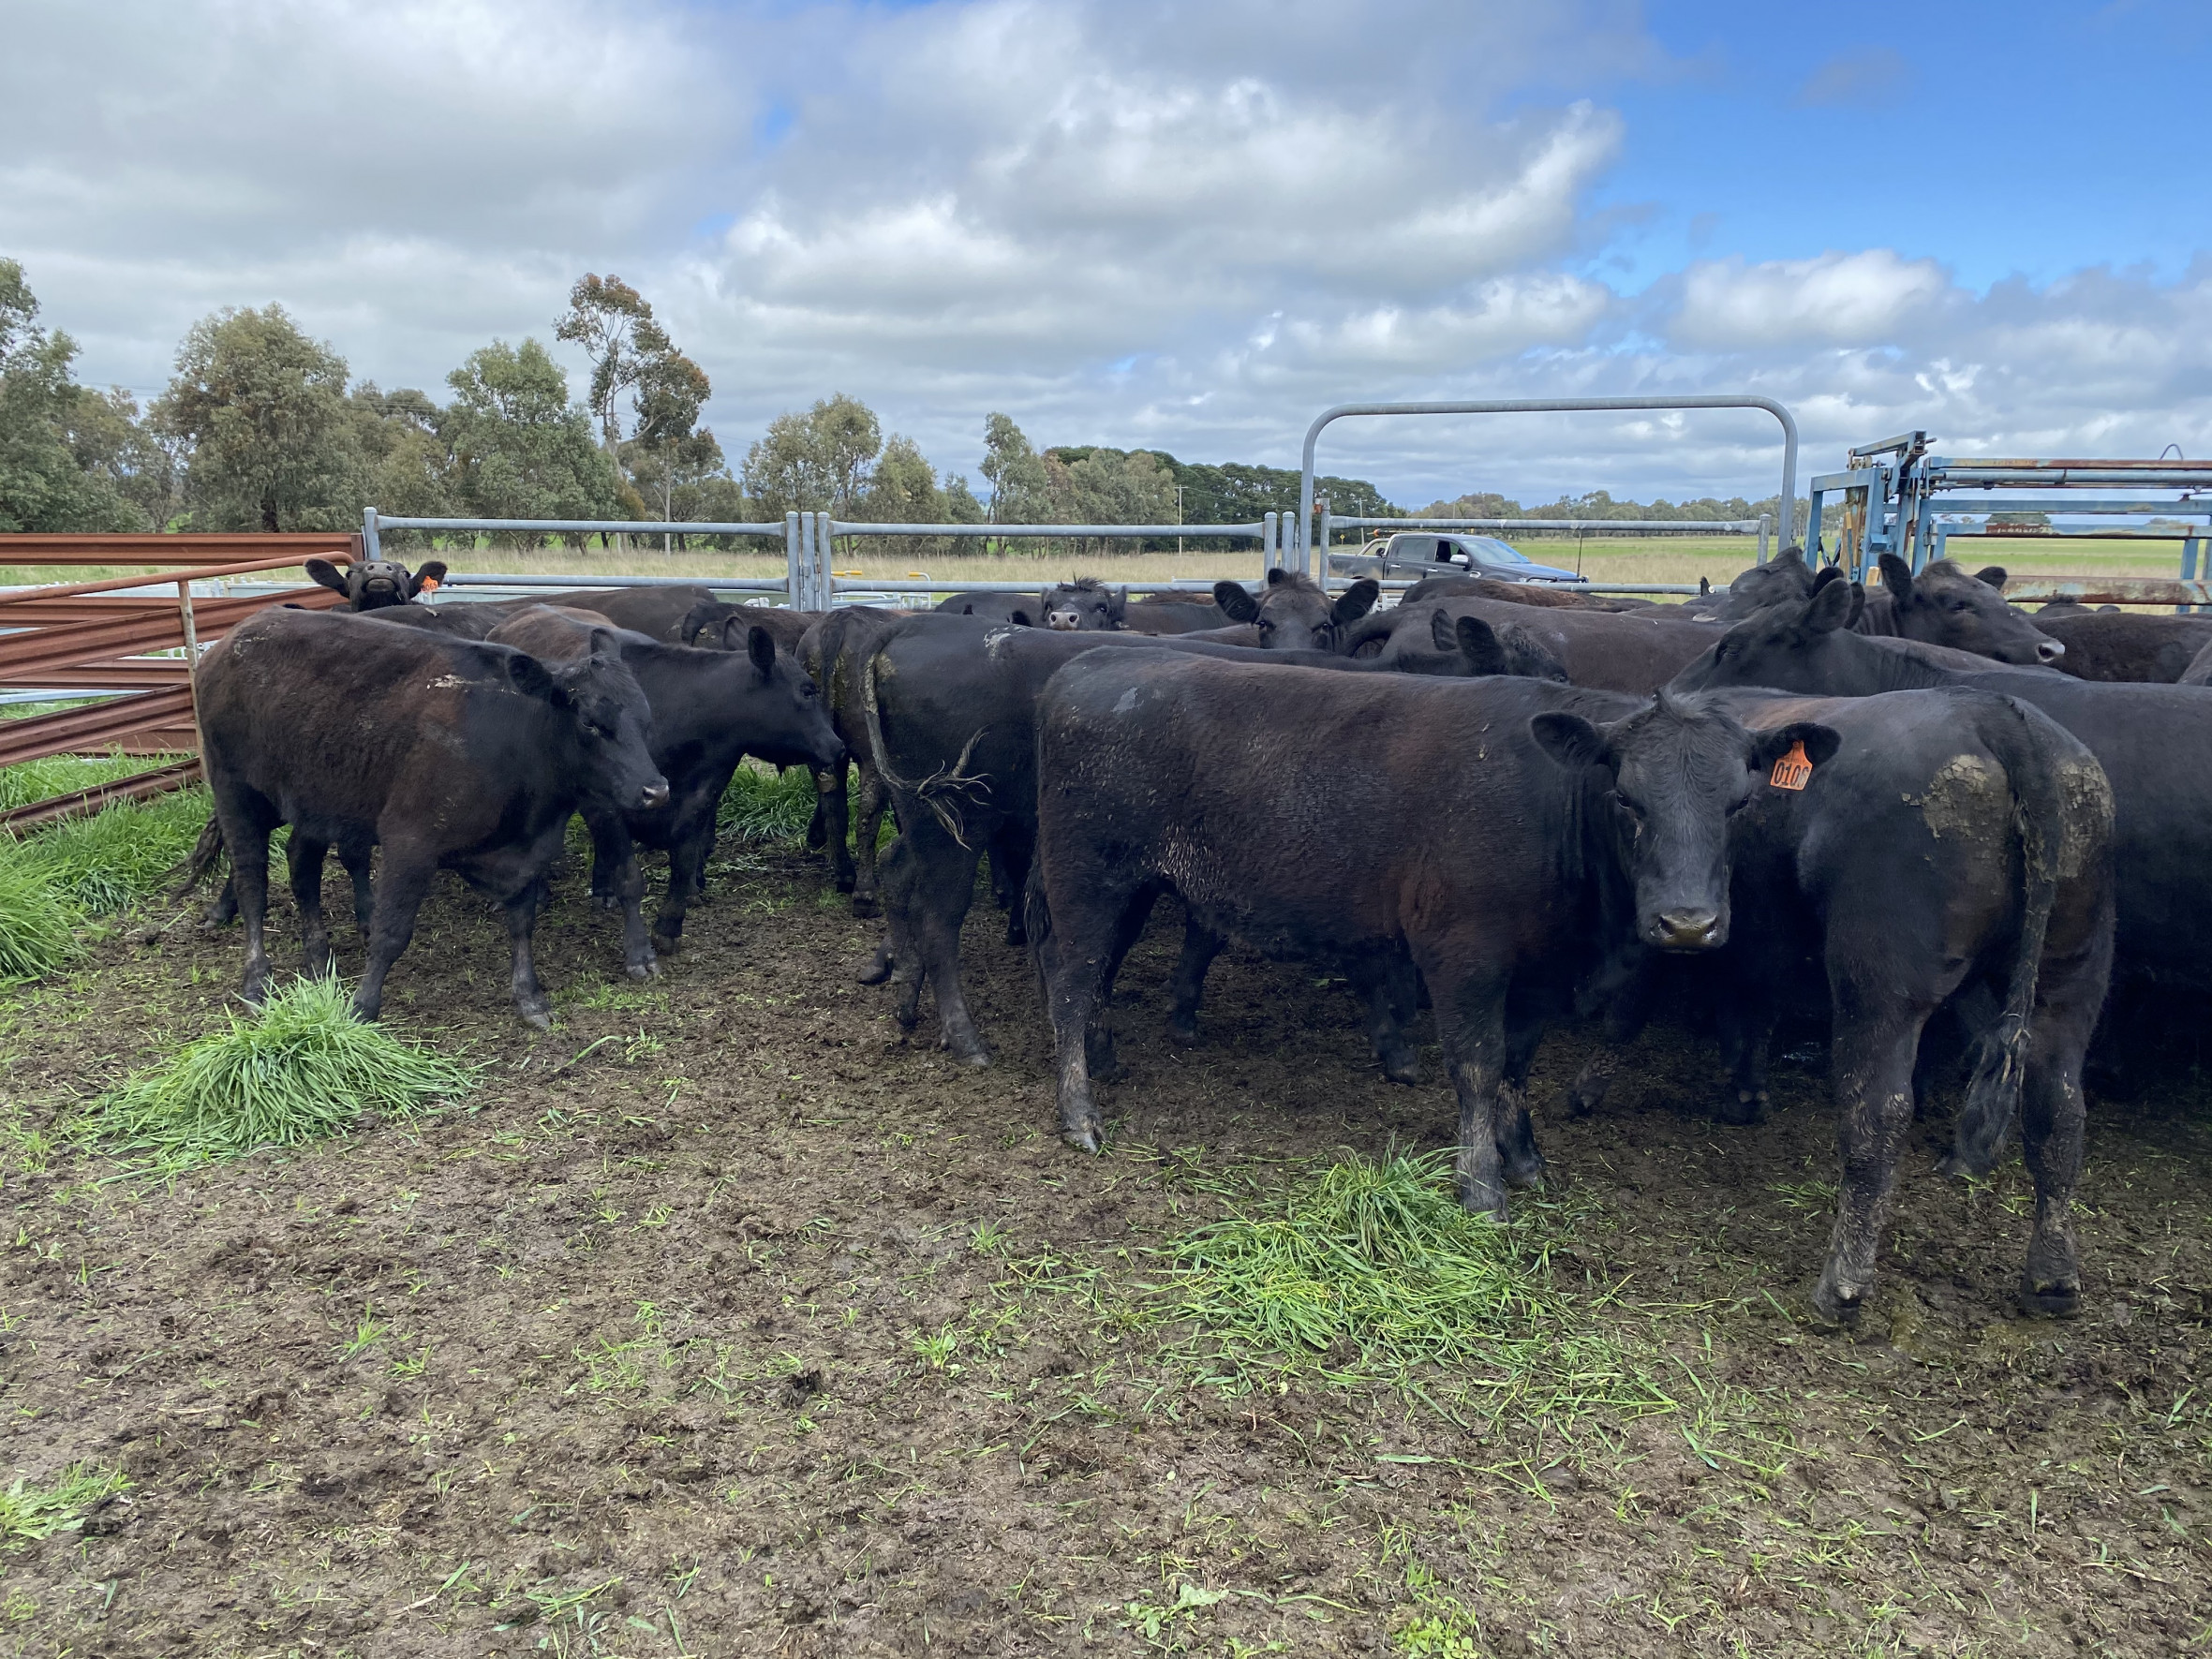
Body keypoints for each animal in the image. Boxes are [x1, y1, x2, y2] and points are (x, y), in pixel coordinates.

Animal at [191, 608, 667, 1028]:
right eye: (590, 722)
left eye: (646, 716)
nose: (655, 791)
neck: (517, 739)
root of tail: (231, 640)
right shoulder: (410, 841)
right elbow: (391, 932)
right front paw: (362, 1008)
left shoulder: (526, 851)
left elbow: (521, 924)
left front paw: (530, 997)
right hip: (235, 790)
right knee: (252, 881)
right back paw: (256, 981)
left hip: (314, 800)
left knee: (302, 868)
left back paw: (318, 957)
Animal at [486, 606, 844, 974]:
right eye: (807, 690)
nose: (838, 746)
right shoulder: (607, 802)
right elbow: (629, 877)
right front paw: (639, 953)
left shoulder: (699, 799)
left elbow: (683, 863)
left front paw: (669, 926)